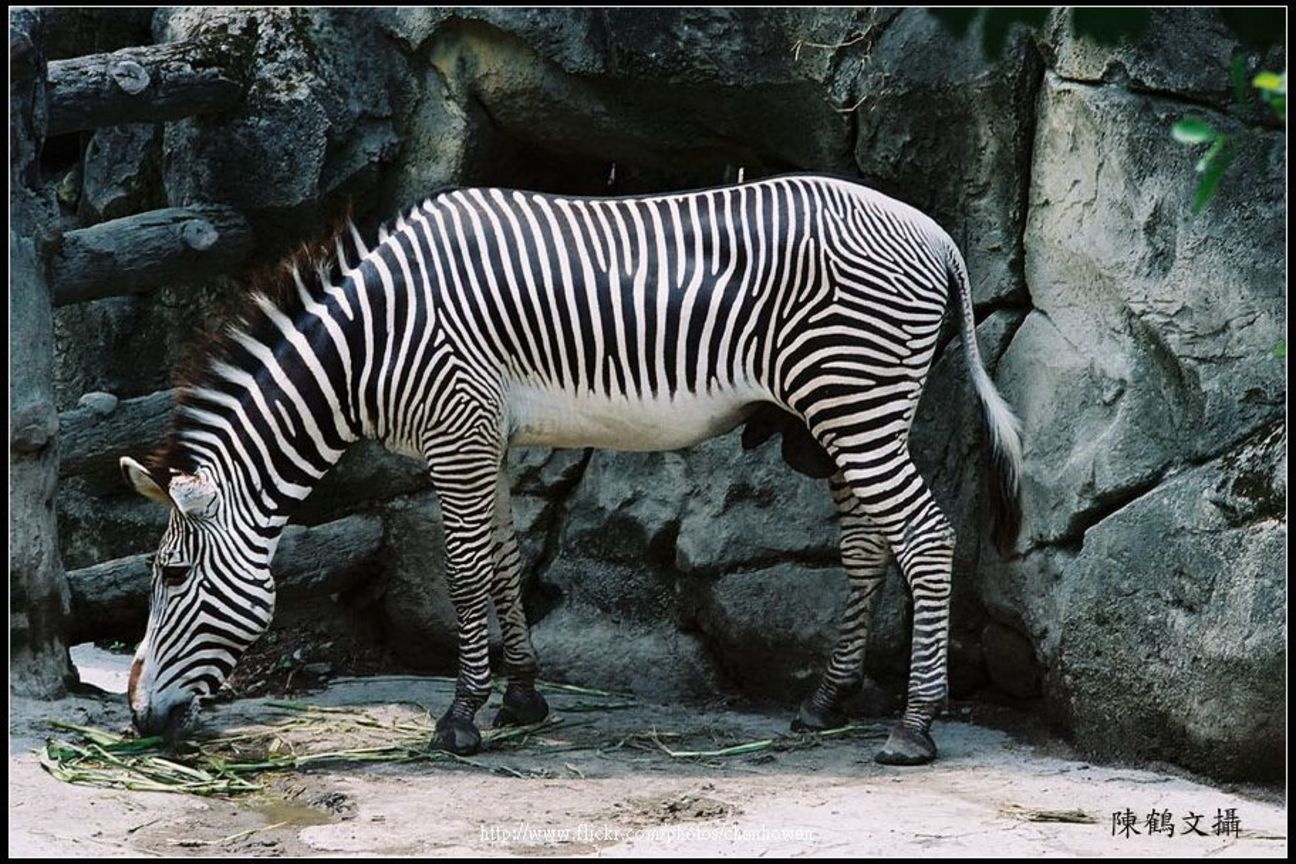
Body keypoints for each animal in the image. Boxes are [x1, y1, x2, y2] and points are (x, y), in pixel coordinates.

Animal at [119, 172, 1022, 766]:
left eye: (170, 574)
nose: (137, 722)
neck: (372, 341)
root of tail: (938, 235)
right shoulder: (487, 436)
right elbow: (502, 560)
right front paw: (522, 696)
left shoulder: (456, 430)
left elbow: (462, 571)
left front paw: (460, 716)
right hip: (849, 409)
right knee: (872, 543)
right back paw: (826, 701)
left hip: (853, 398)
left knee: (927, 538)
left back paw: (915, 725)